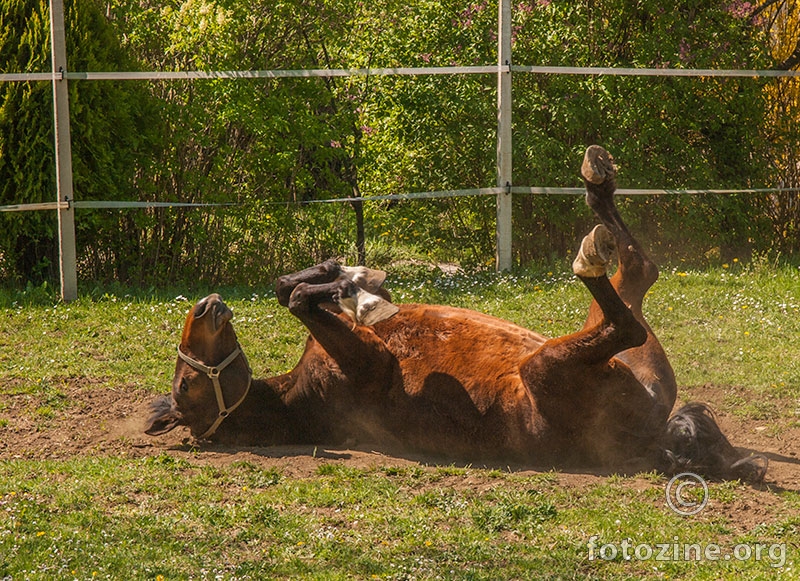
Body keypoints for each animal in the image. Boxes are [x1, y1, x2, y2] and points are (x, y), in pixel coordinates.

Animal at [145, 145, 768, 480]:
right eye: (184, 388)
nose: (207, 305)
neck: (302, 398)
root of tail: (654, 433)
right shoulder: (368, 365)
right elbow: (299, 299)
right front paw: (363, 295)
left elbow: (288, 289)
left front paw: (351, 278)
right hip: (553, 365)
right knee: (628, 313)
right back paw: (590, 249)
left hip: (624, 359)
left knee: (639, 274)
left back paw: (598, 183)